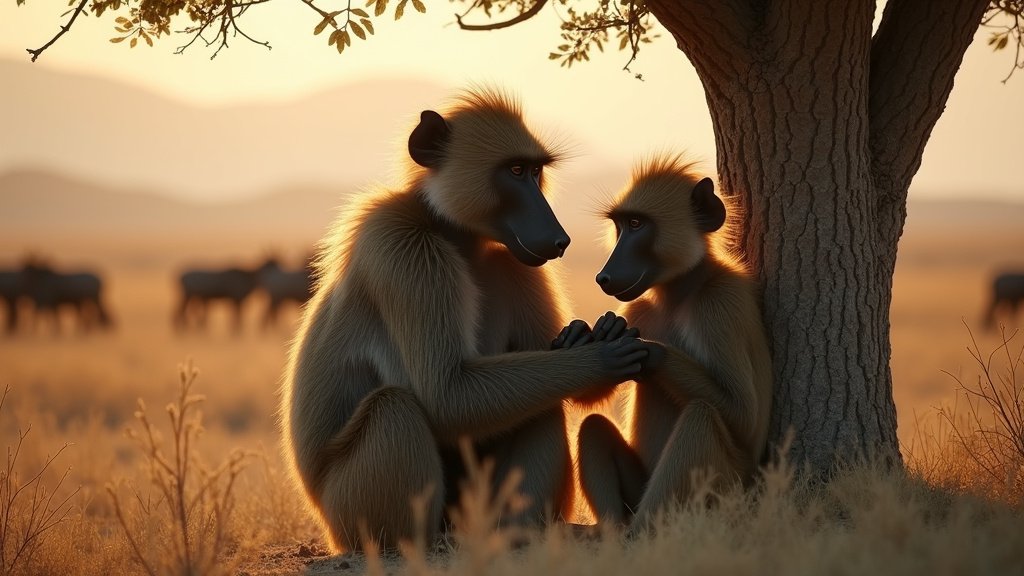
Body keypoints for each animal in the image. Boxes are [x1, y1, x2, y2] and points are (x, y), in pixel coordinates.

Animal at [281, 88, 650, 553]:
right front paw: (601, 356)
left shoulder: (511, 261)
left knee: (541, 404)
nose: (559, 238)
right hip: (350, 513)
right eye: (515, 170)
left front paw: (591, 338)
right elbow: (447, 395)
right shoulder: (403, 250)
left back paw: (519, 532)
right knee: (394, 408)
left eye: (535, 171)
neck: (456, 236)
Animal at [558, 155, 773, 529]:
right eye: (620, 226)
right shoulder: (639, 306)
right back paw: (612, 531)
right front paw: (586, 338)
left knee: (701, 416)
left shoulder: (718, 305)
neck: (679, 293)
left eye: (636, 224)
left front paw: (650, 353)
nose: (604, 276)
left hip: (730, 491)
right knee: (594, 427)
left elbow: (744, 417)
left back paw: (643, 531)